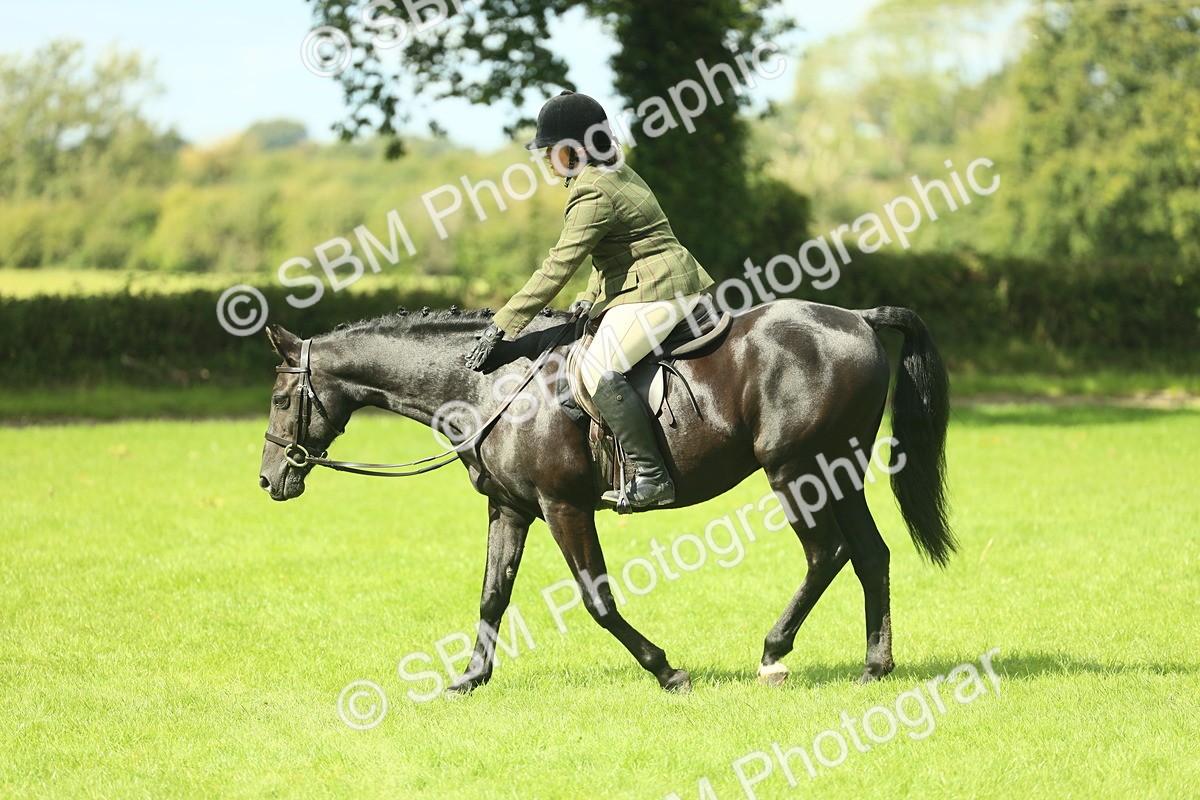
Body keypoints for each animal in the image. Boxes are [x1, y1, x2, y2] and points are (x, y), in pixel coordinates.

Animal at [258, 299, 954, 693]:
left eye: (280, 397)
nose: (268, 480)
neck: (488, 387)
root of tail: (858, 319)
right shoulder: (510, 508)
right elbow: (492, 595)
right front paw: (470, 679)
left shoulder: (562, 506)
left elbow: (597, 599)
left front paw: (666, 670)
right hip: (839, 469)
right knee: (870, 555)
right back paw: (875, 665)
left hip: (793, 470)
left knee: (826, 553)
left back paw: (774, 654)